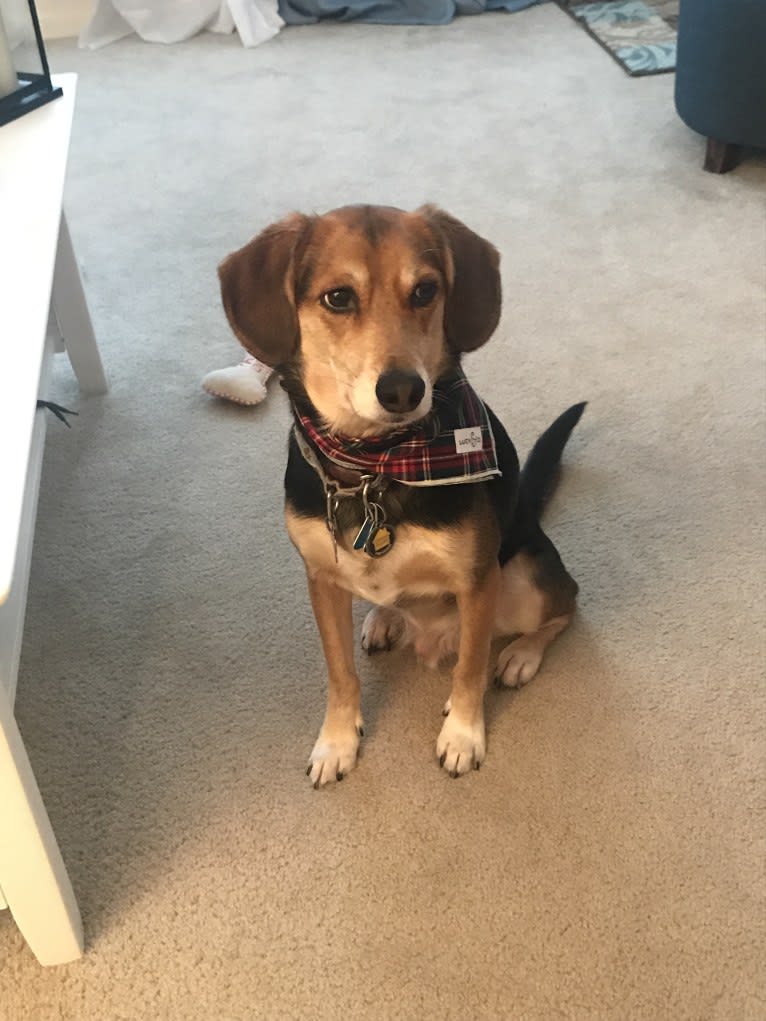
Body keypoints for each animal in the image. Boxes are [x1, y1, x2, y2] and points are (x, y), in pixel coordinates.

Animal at [218, 203, 584, 784]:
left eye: (425, 291)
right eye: (337, 297)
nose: (402, 390)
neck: (375, 464)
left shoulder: (478, 580)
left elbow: (470, 667)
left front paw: (463, 734)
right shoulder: (322, 579)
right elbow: (340, 673)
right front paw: (337, 742)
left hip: (525, 577)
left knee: (563, 606)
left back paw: (521, 654)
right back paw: (385, 617)